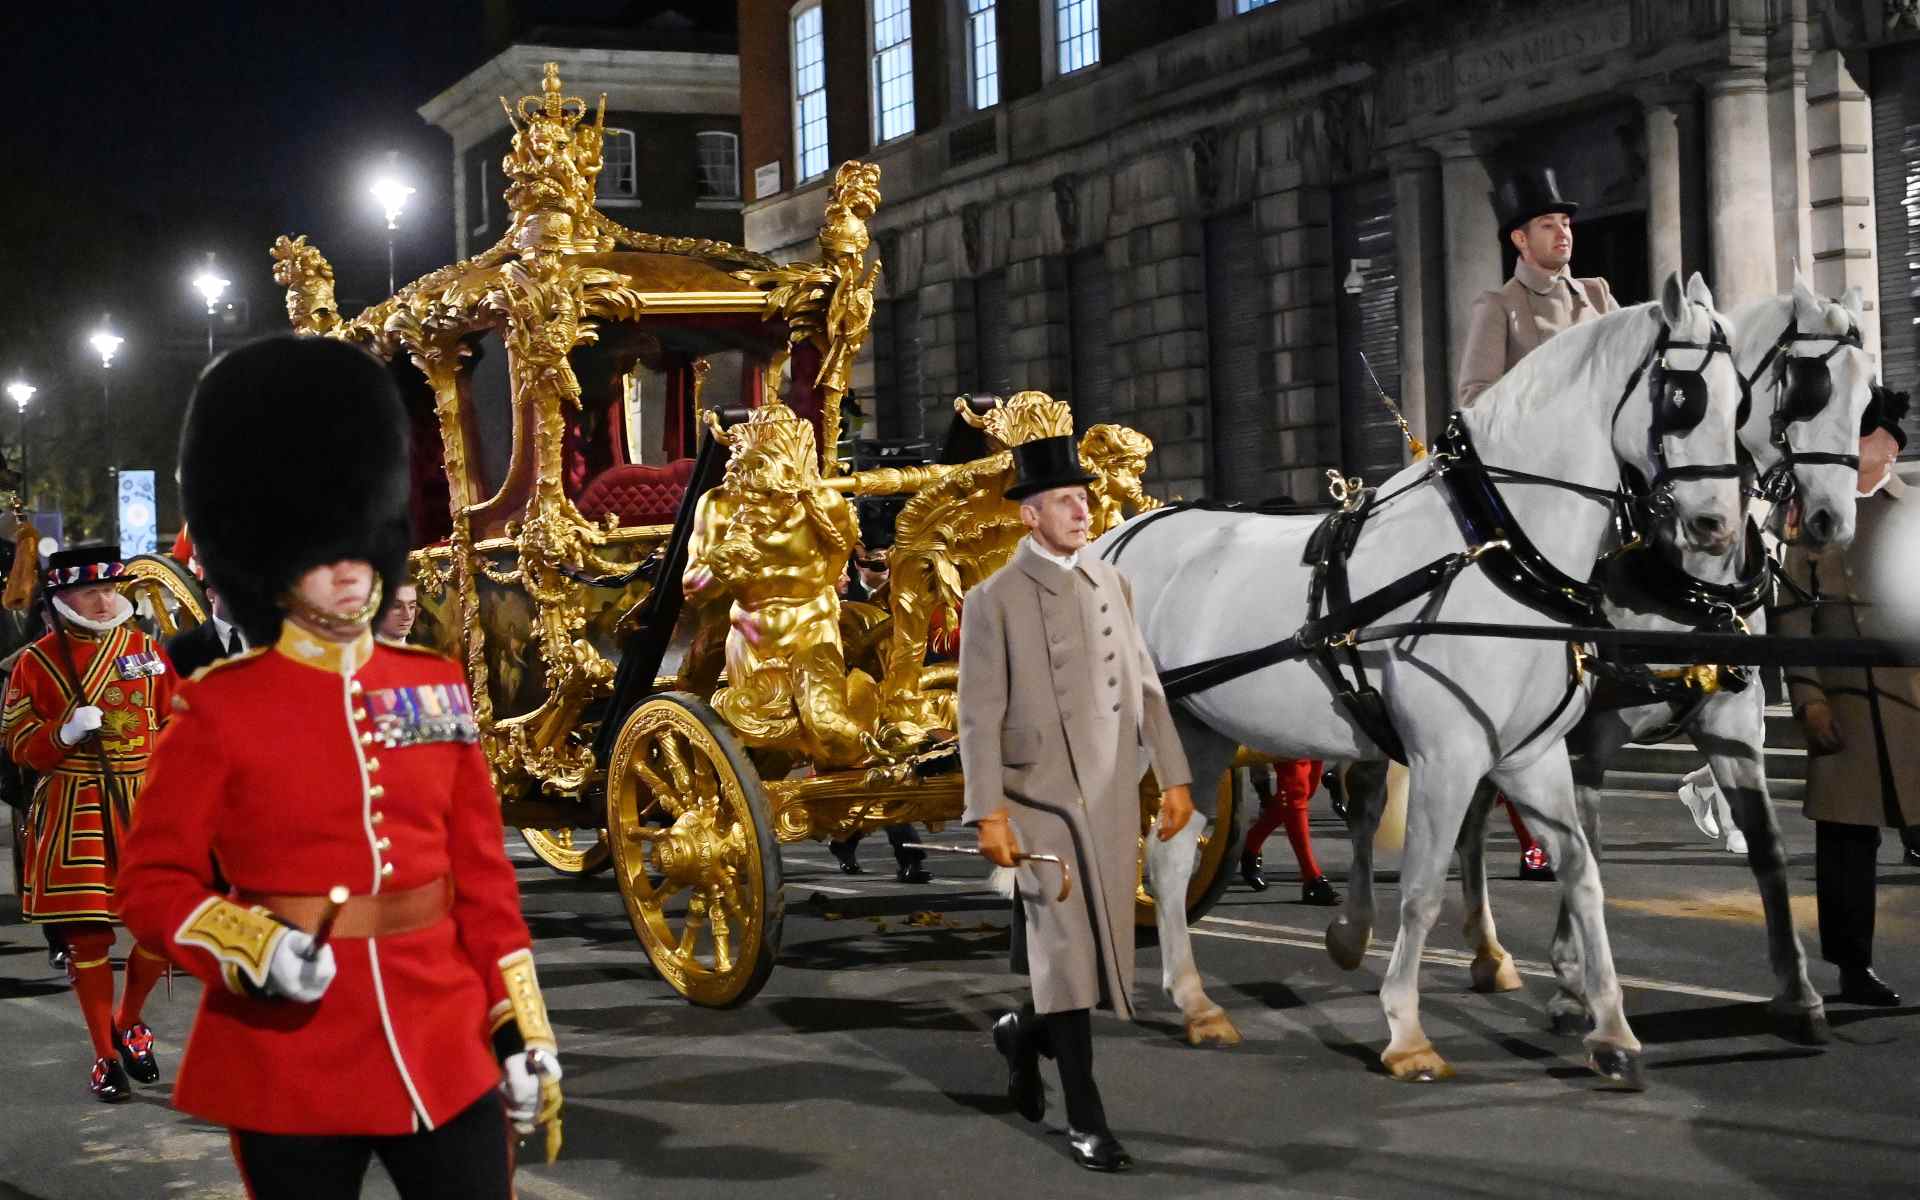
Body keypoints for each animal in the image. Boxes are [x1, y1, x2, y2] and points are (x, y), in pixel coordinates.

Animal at [1105, 270, 1751, 1082]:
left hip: (1200, 735)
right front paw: (1407, 1032)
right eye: (1682, 397)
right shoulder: (1447, 757)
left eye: (1742, 401)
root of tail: (1109, 540)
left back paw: (1196, 1004)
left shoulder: (1531, 756)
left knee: (1165, 855)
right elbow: (1419, 889)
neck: (1497, 547)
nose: (1716, 528)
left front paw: (1610, 1030)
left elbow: (1582, 871)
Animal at [1428, 278, 1873, 1036]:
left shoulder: (1732, 723)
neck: (1680, 574)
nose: (1831, 522)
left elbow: (1767, 844)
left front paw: (1798, 991)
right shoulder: (1584, 736)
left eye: (1869, 393)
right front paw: (1573, 985)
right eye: (1808, 390)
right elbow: (1586, 845)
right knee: (1461, 820)